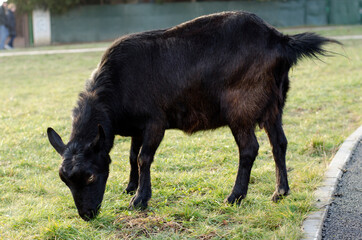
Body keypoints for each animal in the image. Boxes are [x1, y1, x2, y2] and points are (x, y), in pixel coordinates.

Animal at [46, 11, 338, 221]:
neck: (115, 88)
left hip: (241, 107)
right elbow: (131, 156)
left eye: (91, 177)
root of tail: (280, 40)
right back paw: (280, 192)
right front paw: (130, 186)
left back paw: (235, 196)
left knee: (249, 149)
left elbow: (143, 158)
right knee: (279, 143)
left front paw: (139, 200)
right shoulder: (137, 127)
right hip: (274, 105)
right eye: (65, 181)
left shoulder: (155, 122)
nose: (87, 215)